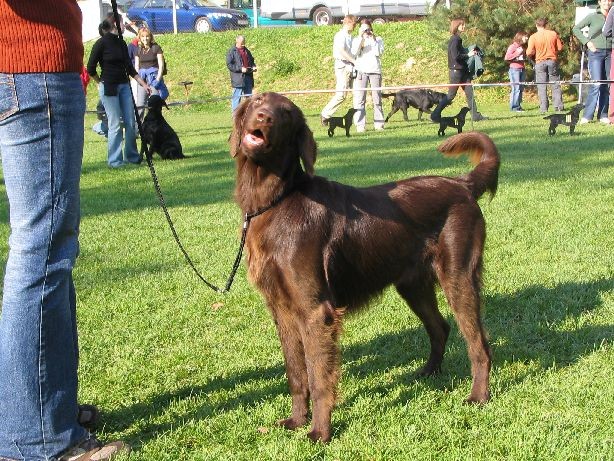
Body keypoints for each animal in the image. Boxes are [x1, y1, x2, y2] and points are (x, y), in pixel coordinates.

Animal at [231, 90, 500, 442]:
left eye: (286, 113)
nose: (265, 117)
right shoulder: (282, 310)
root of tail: (462, 185)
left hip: (458, 276)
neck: (277, 201)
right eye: (258, 101)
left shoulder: (316, 311)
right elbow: (296, 374)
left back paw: (478, 396)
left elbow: (318, 377)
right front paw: (297, 421)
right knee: (440, 327)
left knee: (479, 343)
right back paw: (428, 373)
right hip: (413, 285)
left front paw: (320, 432)